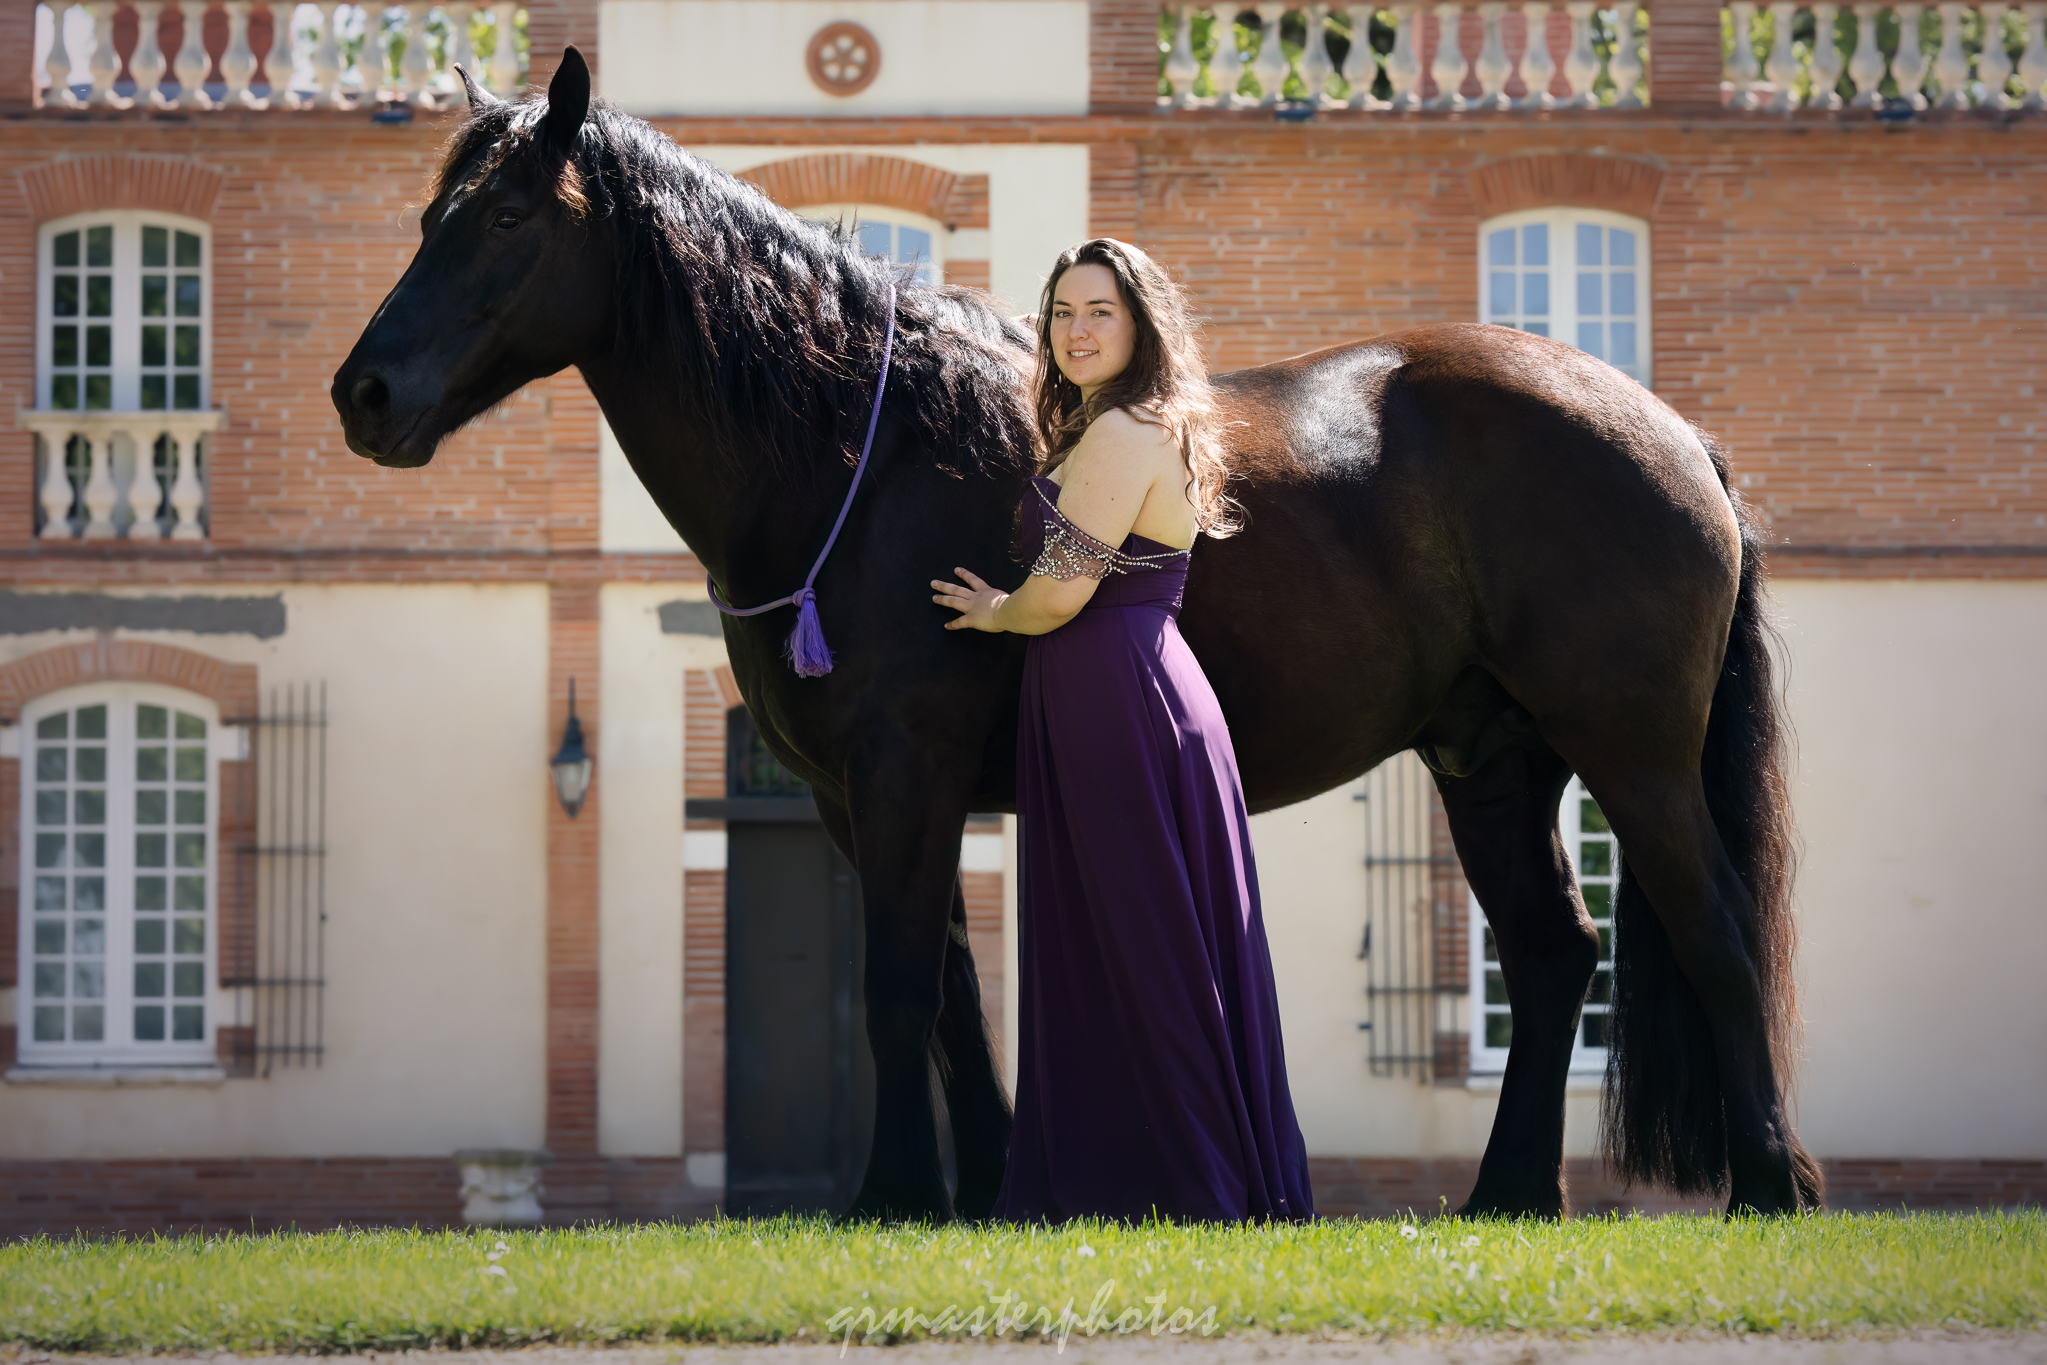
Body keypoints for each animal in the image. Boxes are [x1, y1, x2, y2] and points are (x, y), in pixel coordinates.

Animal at [333, 48, 1824, 1221]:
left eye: (507, 211)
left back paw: (1769, 1184)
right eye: (427, 212)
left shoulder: (907, 775)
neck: (858, 459)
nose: (365, 393)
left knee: (1710, 931)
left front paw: (891, 1197)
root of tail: (1665, 426)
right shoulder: (853, 801)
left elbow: (894, 988)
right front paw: (986, 1192)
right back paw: (1508, 1196)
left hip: (1630, 757)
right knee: (1555, 951)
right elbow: (945, 999)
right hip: (1491, 763)